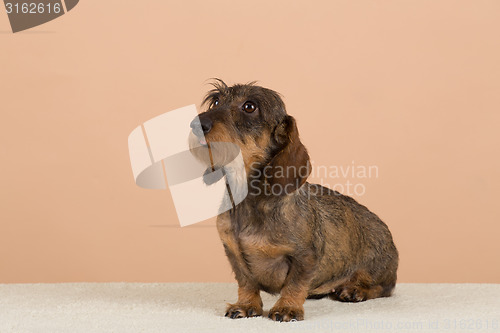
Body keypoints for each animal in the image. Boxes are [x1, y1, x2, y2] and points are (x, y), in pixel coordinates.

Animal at [188, 79, 398, 320]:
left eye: (250, 106)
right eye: (215, 101)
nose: (196, 124)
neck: (251, 200)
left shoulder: (305, 257)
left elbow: (295, 284)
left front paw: (287, 308)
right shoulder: (233, 253)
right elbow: (246, 282)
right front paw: (246, 305)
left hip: (378, 271)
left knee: (384, 288)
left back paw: (355, 290)